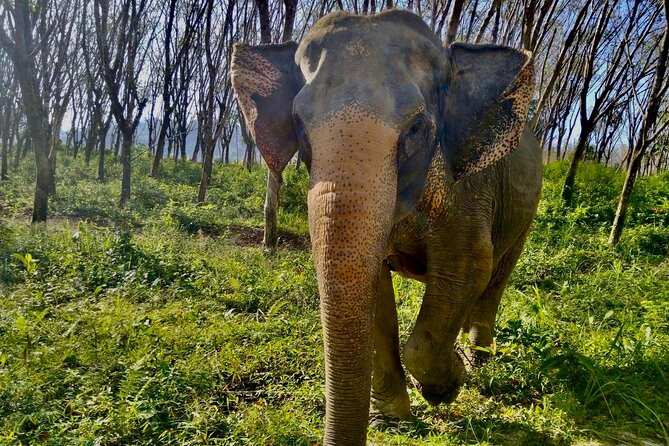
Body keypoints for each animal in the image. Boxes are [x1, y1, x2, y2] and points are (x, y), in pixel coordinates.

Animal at [232, 8, 540, 444]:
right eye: (298, 123)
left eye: (415, 127)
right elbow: (373, 292)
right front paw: (393, 422)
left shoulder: (468, 193)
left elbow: (468, 268)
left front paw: (448, 385)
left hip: (523, 211)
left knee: (494, 278)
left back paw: (477, 363)